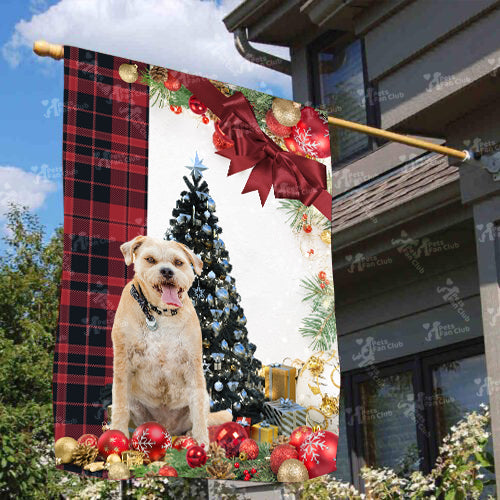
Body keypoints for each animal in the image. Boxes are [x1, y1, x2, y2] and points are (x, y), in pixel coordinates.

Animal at [110, 234, 231, 446]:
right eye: (150, 259)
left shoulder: (193, 364)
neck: (161, 313)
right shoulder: (123, 360)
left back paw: (190, 434)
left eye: (178, 262)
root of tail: (168, 429)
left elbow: (198, 409)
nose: (167, 271)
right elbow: (120, 403)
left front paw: (202, 442)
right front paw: (117, 434)